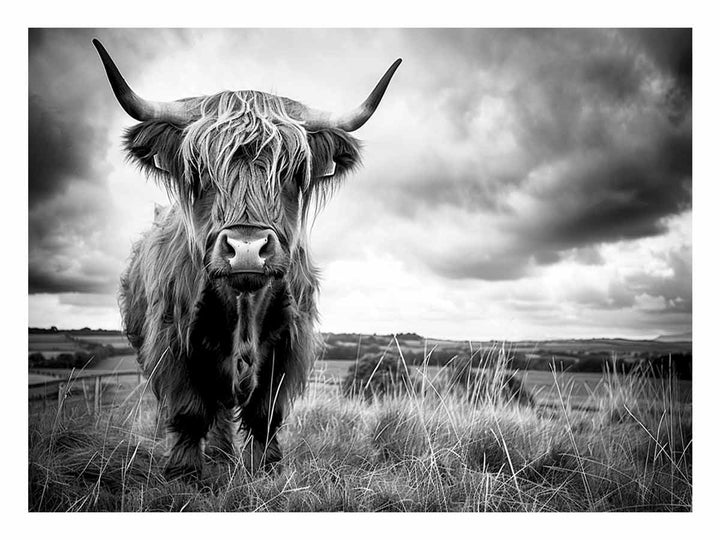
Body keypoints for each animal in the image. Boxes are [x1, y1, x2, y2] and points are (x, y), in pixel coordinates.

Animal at [93, 40, 400, 478]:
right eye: (199, 170)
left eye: (293, 172)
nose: (247, 248)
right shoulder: (172, 342)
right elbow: (189, 411)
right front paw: (184, 473)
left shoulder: (289, 343)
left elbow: (266, 413)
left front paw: (266, 469)